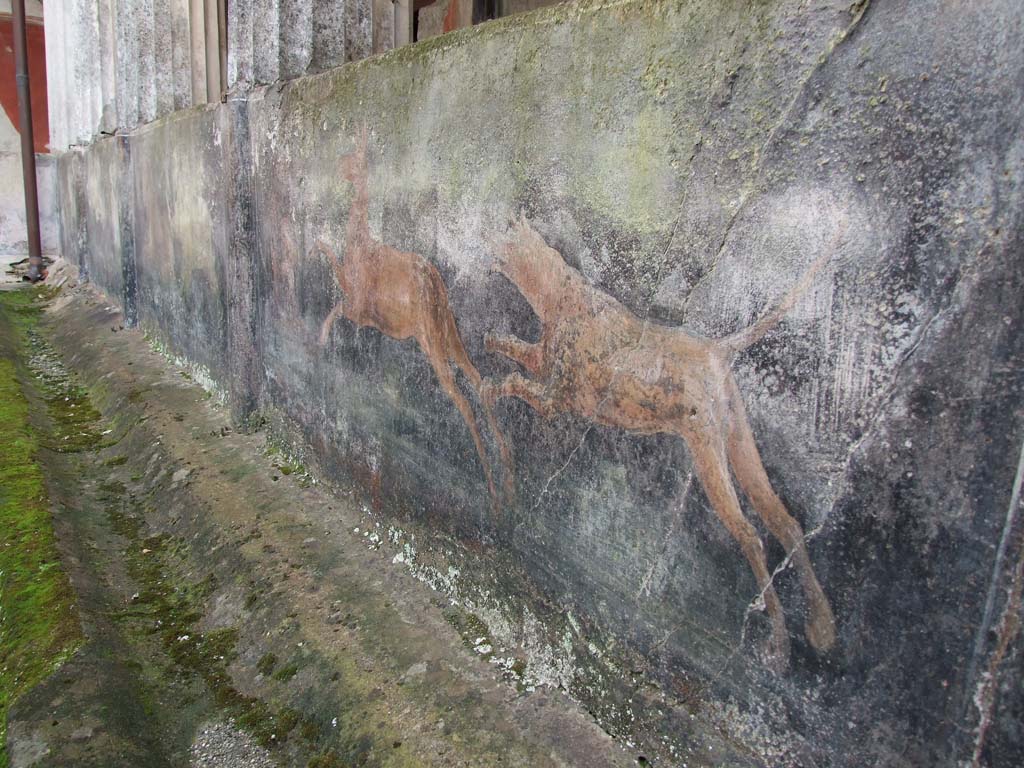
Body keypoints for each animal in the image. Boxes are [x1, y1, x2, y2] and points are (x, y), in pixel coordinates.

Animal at [315, 129, 512, 507]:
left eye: (355, 159)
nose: (336, 167)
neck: (360, 241)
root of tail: (436, 282)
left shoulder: (358, 307)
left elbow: (334, 296)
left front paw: (319, 337)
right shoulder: (362, 310)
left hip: (431, 336)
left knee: (460, 396)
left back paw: (495, 493)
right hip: (446, 330)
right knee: (478, 379)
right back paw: (508, 470)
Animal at [483, 218, 843, 671]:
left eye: (501, 237)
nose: (485, 249)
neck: (558, 292)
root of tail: (717, 348)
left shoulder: (555, 399)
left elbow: (512, 381)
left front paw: (492, 382)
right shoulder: (545, 364)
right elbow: (517, 351)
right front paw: (494, 341)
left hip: (706, 449)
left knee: (750, 534)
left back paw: (777, 647)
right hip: (739, 442)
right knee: (787, 522)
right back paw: (822, 627)